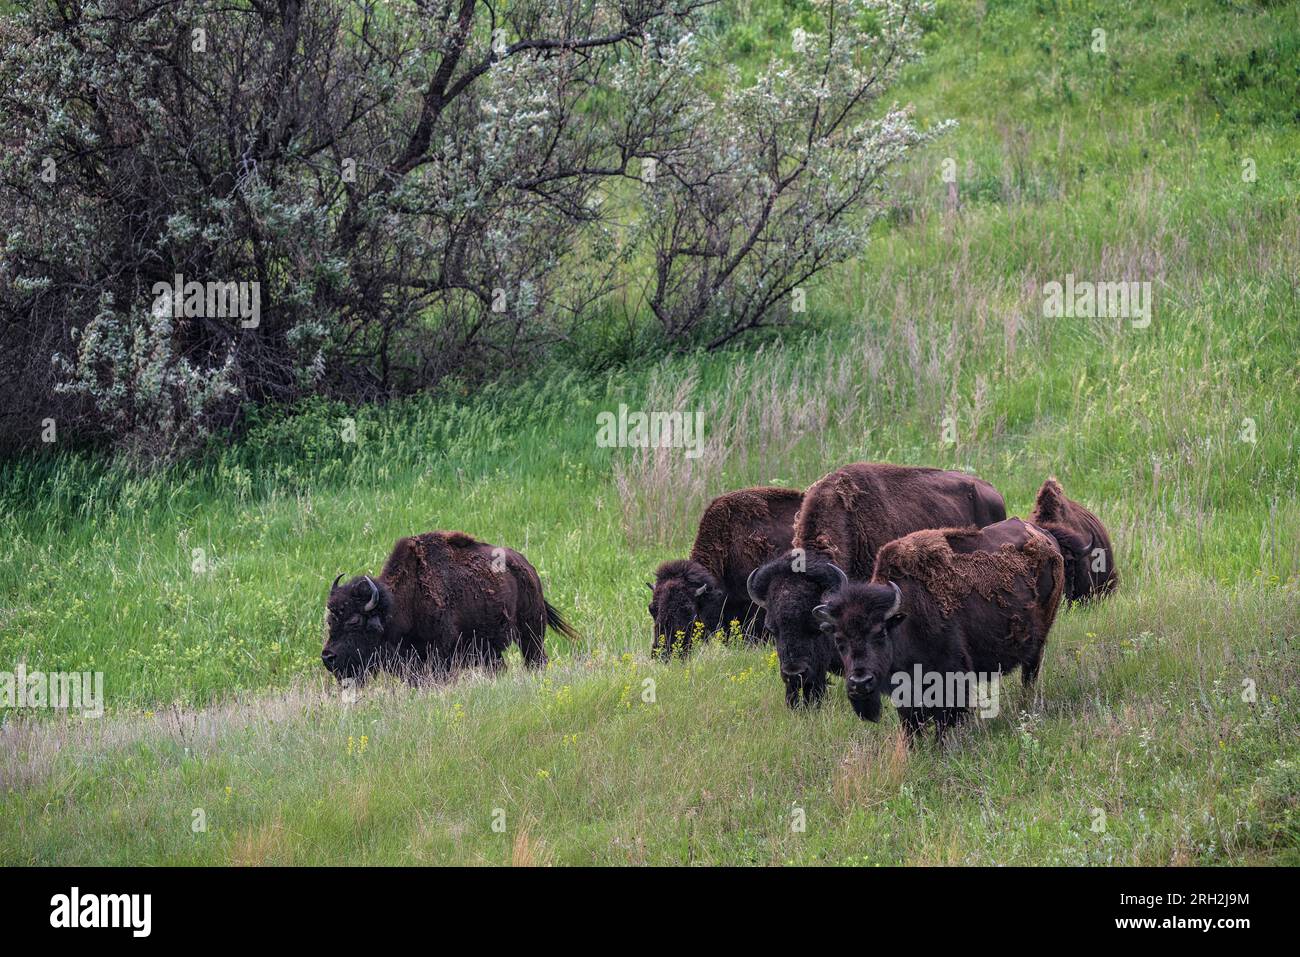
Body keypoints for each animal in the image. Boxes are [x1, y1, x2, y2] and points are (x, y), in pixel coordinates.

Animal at [323, 530, 579, 683]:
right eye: (330, 621)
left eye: (354, 622)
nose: (327, 657)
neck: (401, 605)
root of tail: (528, 568)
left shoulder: (440, 658)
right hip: (491, 648)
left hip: (531, 634)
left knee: (535, 659)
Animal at [815, 517, 1064, 741]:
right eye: (839, 640)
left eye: (880, 633)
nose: (860, 682)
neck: (905, 619)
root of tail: (1045, 536)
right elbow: (911, 724)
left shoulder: (951, 680)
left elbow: (945, 721)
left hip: (1039, 641)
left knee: (1030, 672)